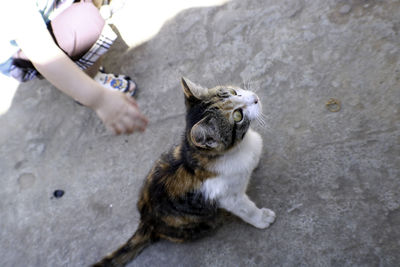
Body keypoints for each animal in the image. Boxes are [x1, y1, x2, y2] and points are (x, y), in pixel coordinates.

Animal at [93, 77, 276, 267]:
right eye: (238, 115)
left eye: (234, 92)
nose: (255, 98)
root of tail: (146, 220)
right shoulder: (228, 196)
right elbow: (246, 209)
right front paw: (261, 218)